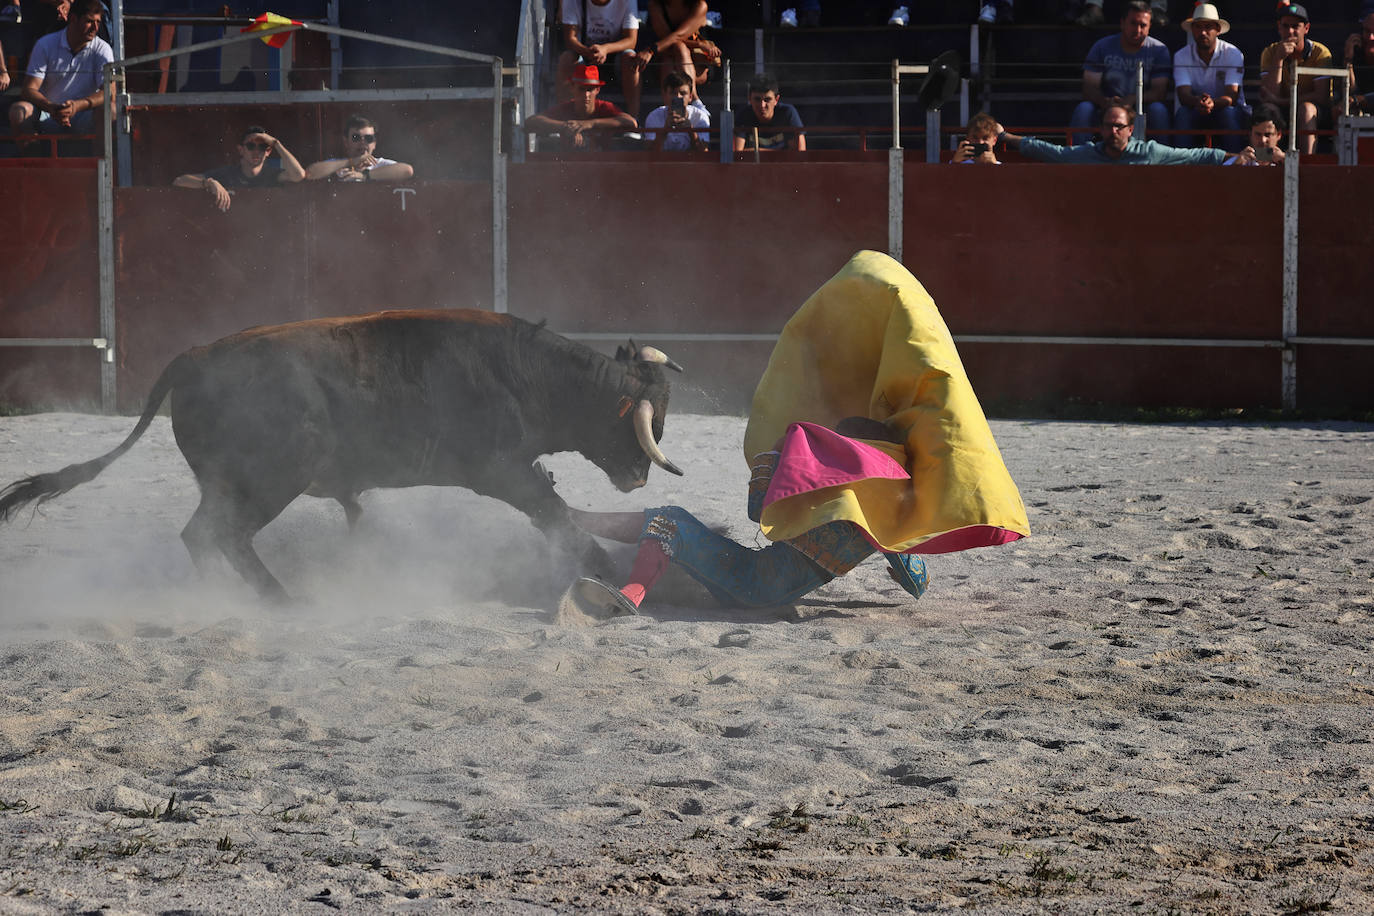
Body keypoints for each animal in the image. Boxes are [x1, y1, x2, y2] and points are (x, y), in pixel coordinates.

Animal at [0, 307, 684, 601]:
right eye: (645, 425)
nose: (640, 477)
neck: (528, 375)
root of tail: (192, 359)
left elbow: (554, 510)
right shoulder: (500, 471)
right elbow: (556, 513)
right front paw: (608, 569)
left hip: (227, 483)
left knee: (200, 534)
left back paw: (220, 594)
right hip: (272, 479)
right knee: (222, 534)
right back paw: (281, 599)